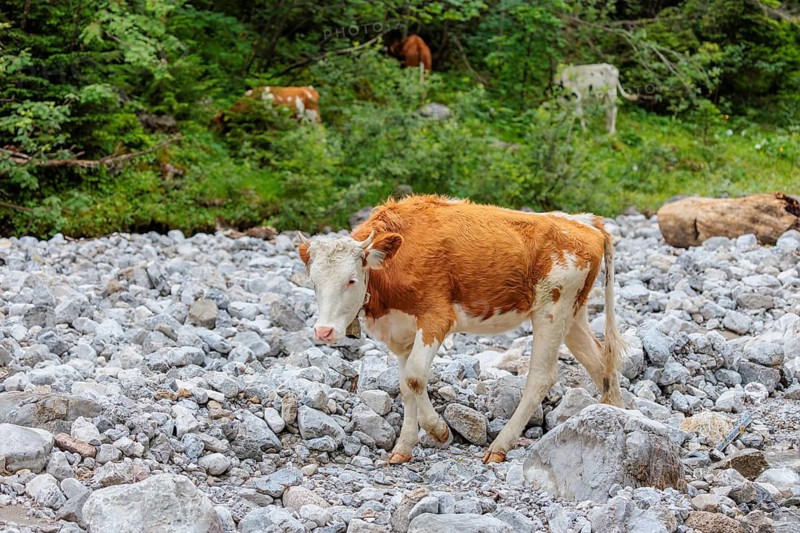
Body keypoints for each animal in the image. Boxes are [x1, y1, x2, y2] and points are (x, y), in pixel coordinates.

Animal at [297, 195, 625, 464]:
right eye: (313, 281)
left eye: (351, 280)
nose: (324, 331)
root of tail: (585, 223)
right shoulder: (401, 329)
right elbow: (404, 384)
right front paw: (403, 447)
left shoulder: (436, 317)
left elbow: (415, 377)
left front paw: (439, 430)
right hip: (573, 314)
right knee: (601, 366)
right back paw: (620, 414)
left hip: (552, 308)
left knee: (541, 377)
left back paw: (500, 446)